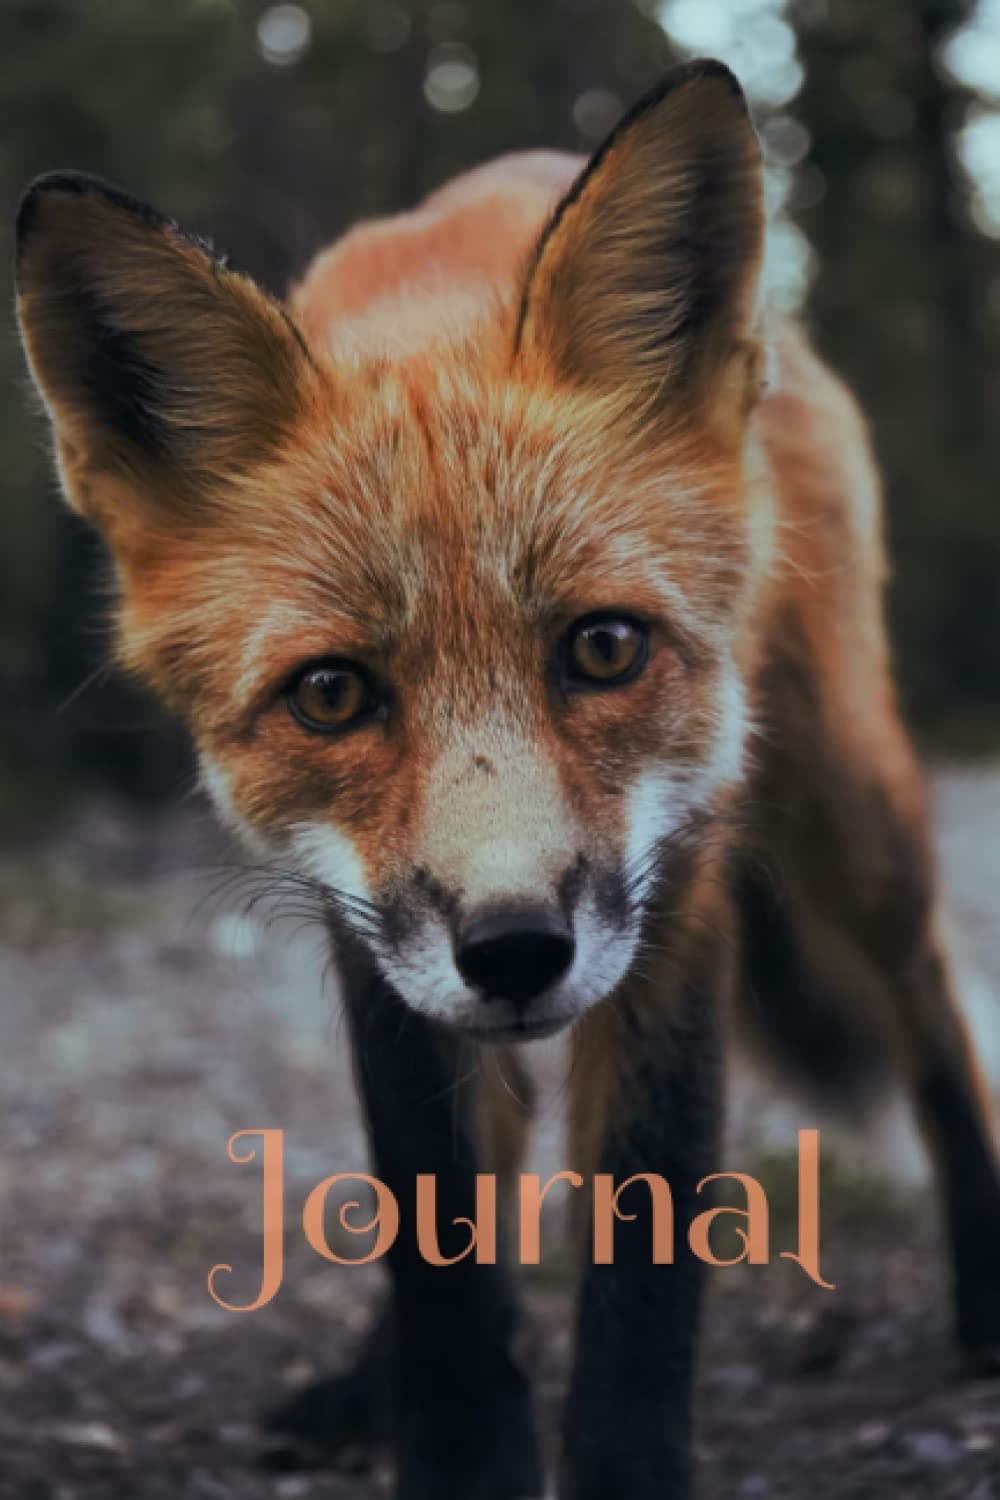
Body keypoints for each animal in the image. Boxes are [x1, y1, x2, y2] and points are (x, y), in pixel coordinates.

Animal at [14, 59, 1000, 1500]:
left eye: (604, 647)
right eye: (331, 694)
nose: (518, 949)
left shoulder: (675, 902)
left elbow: (642, 1270)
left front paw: (623, 1467)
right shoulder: (373, 942)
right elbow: (436, 1231)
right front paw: (451, 1441)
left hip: (848, 803)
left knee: (929, 1001)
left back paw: (985, 1284)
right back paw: (368, 1380)